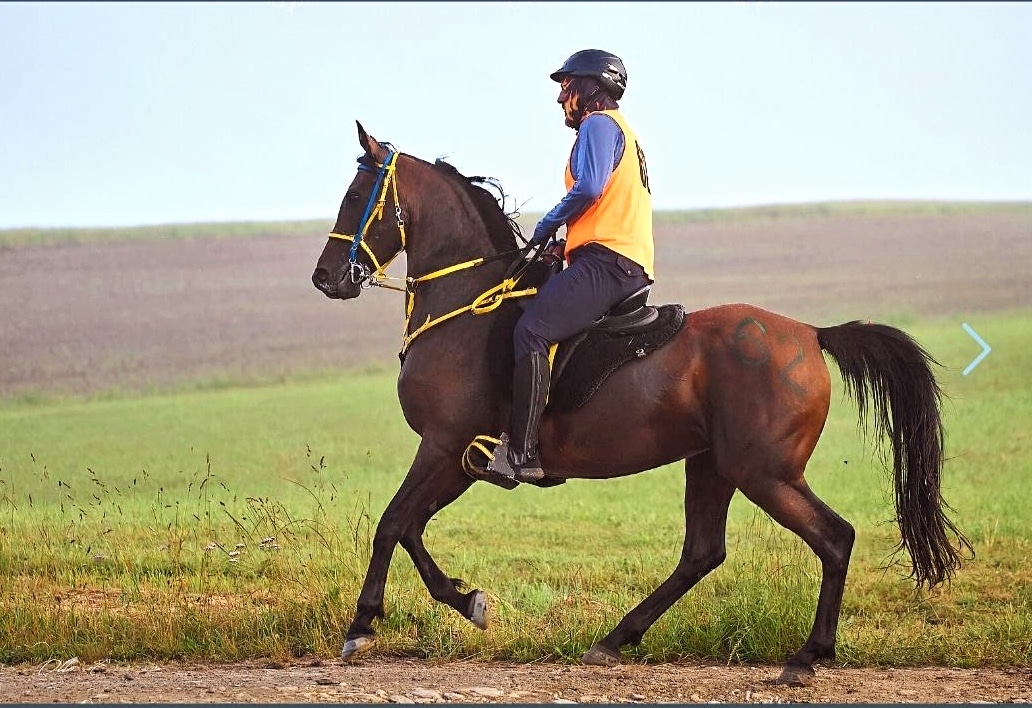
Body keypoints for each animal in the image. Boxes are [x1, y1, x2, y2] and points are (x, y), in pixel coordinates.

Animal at [309, 121, 970, 689]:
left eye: (356, 194)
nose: (325, 278)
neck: (467, 303)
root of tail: (811, 333)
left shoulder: (444, 446)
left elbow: (392, 523)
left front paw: (362, 626)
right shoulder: (460, 458)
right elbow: (411, 527)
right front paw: (468, 600)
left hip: (764, 472)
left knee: (833, 538)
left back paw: (807, 657)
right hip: (713, 464)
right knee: (703, 552)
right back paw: (616, 639)